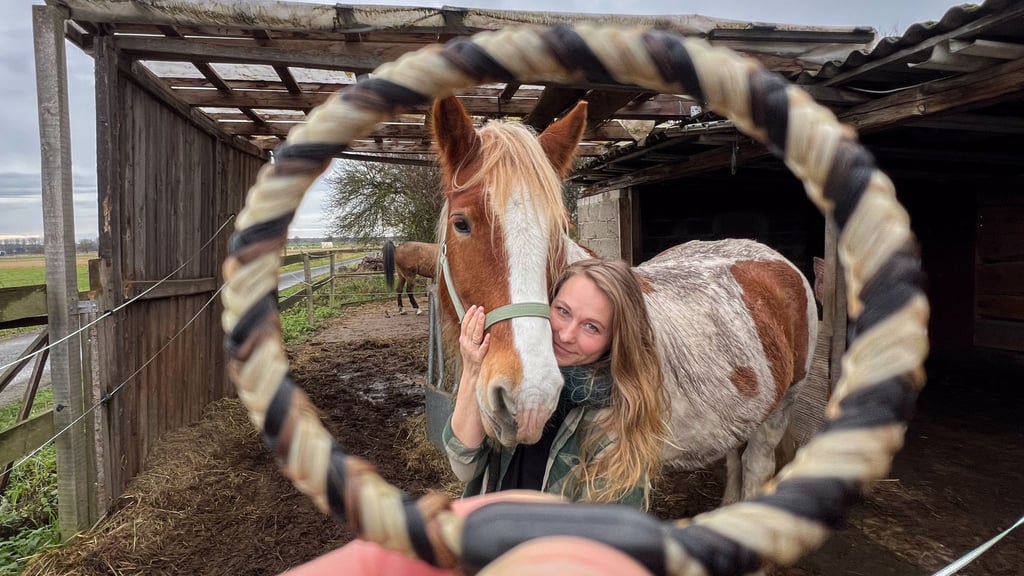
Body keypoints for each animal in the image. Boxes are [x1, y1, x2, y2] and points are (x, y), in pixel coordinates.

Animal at [430, 95, 819, 504]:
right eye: (461, 223)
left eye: (557, 230)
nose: (531, 399)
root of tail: (772, 259)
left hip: (780, 409)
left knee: (756, 465)